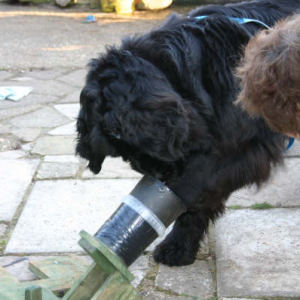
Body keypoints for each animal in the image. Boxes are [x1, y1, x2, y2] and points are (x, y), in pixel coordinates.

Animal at [75, 0, 300, 268]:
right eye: (124, 156)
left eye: (119, 132)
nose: (158, 175)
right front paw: (179, 247)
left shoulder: (246, 146)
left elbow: (198, 183)